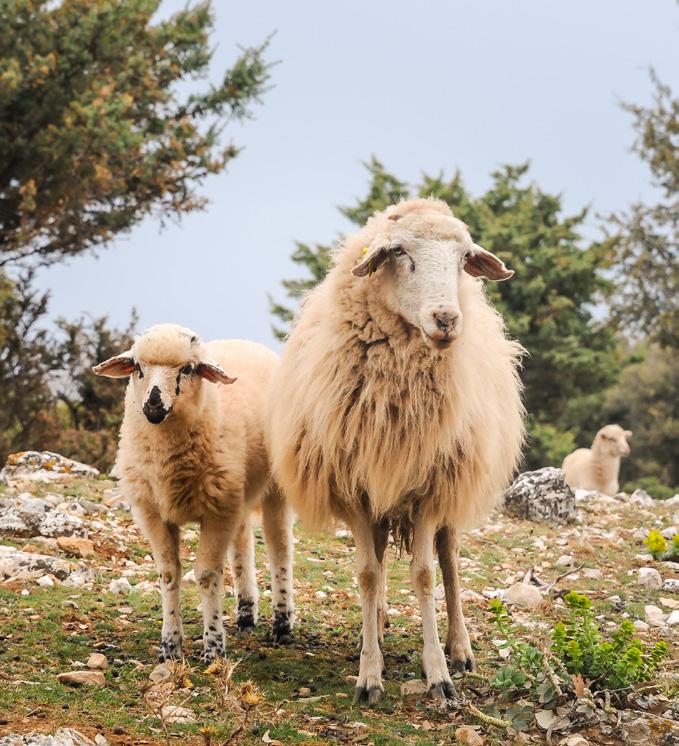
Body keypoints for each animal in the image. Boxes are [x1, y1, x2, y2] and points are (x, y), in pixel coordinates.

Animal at [93, 324, 295, 661]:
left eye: (187, 369)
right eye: (137, 368)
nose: (153, 404)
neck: (167, 464)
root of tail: (249, 343)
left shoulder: (216, 513)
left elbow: (207, 576)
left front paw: (213, 647)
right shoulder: (154, 514)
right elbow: (169, 574)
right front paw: (170, 646)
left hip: (273, 489)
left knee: (279, 550)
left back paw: (282, 623)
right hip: (235, 492)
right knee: (242, 546)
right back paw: (245, 613)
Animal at [268, 198, 525, 702]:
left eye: (464, 259)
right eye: (400, 252)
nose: (446, 320)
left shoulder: (430, 488)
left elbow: (426, 574)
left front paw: (438, 673)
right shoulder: (356, 487)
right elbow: (368, 574)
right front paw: (369, 673)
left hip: (451, 486)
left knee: (449, 561)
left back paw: (460, 648)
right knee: (382, 556)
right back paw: (380, 627)